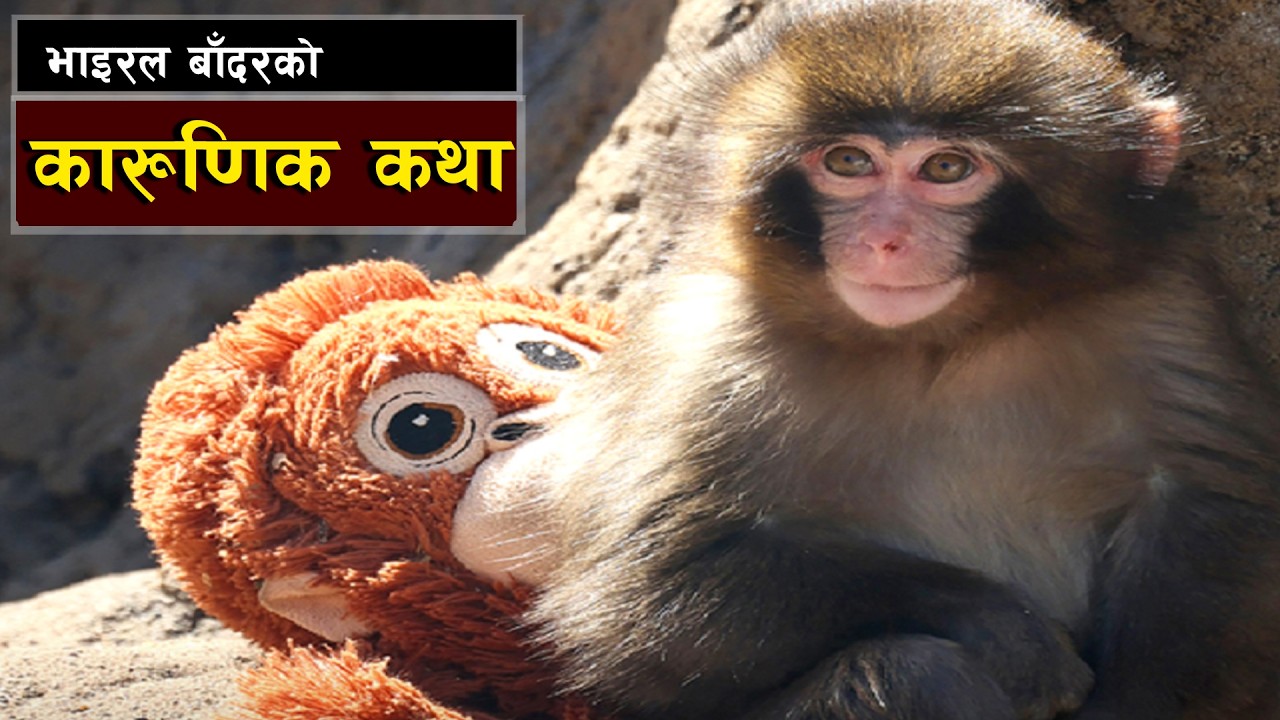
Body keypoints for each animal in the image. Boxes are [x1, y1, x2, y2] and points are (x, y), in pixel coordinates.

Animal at [522, 1, 1280, 719]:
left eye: (946, 168)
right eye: (848, 162)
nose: (884, 240)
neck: (943, 343)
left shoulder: (1162, 303)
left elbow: (1208, 501)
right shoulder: (707, 345)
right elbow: (646, 595)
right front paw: (1003, 626)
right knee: (912, 673)